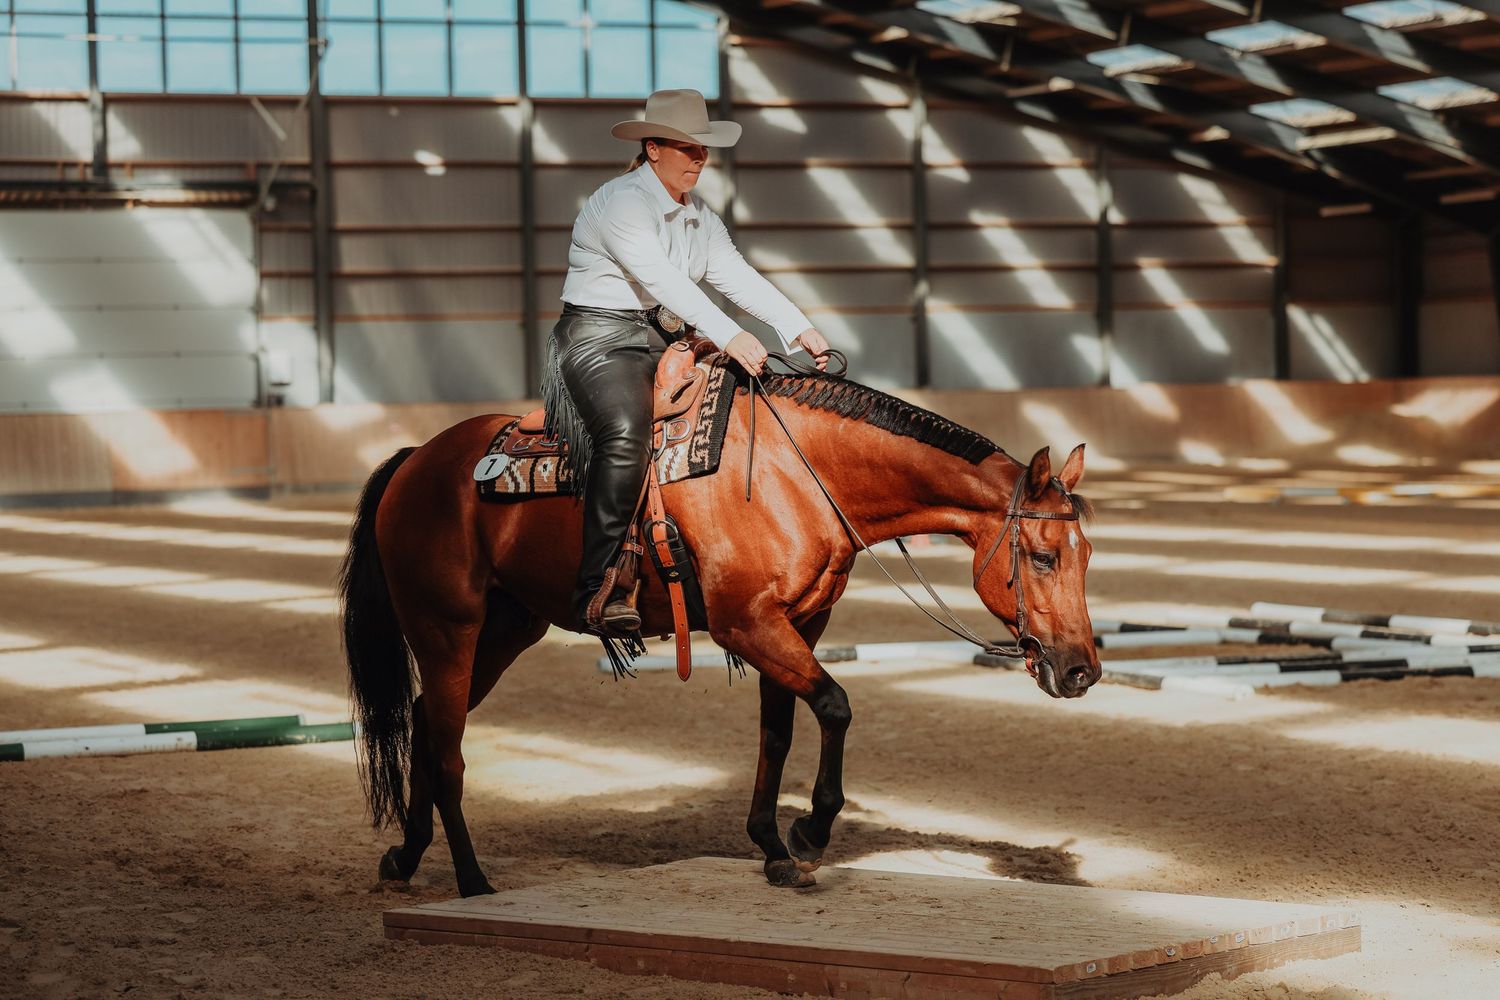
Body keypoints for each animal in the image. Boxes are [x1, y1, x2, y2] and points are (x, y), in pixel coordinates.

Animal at [339, 370, 1101, 897]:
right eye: (1043, 556)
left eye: (1087, 554)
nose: (1082, 670)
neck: (798, 475)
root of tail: (418, 458)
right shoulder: (746, 624)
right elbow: (835, 706)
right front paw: (809, 832)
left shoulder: (799, 625)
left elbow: (779, 731)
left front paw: (774, 849)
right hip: (447, 630)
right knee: (449, 751)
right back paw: (472, 882)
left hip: (505, 631)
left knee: (424, 722)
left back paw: (404, 858)